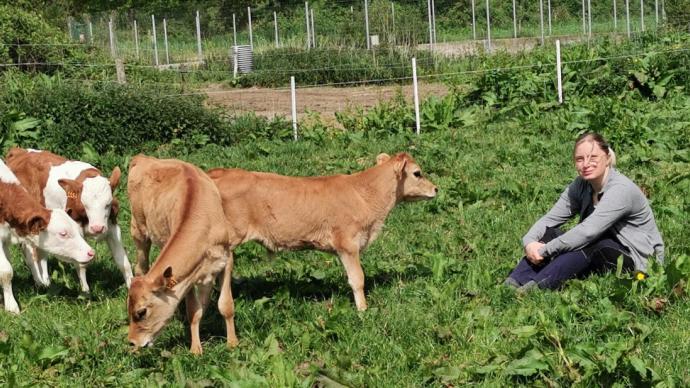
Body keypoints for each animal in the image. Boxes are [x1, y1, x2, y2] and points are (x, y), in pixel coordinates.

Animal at [0, 159, 94, 314]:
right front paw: (11, 306)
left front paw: (40, 284)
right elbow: (6, 271)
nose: (91, 252)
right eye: (63, 233)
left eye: (76, 229)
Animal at [4, 147, 132, 292]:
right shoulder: (76, 227)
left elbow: (123, 262)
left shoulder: (112, 226)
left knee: (42, 253)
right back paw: (39, 283)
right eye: (85, 204)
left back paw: (46, 282)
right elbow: (81, 264)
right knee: (31, 254)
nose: (97, 228)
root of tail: (19, 151)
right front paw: (85, 291)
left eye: (108, 204)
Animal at [126, 155, 236, 354]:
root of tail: (144, 157)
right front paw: (195, 350)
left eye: (141, 312)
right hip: (138, 229)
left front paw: (233, 343)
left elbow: (225, 305)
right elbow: (193, 311)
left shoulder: (226, 259)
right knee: (140, 267)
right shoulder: (188, 277)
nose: (132, 342)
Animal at [204, 152, 436, 312]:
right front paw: (363, 310)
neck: (365, 194)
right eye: (417, 173)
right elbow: (358, 279)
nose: (436, 188)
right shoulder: (348, 244)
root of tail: (217, 173)